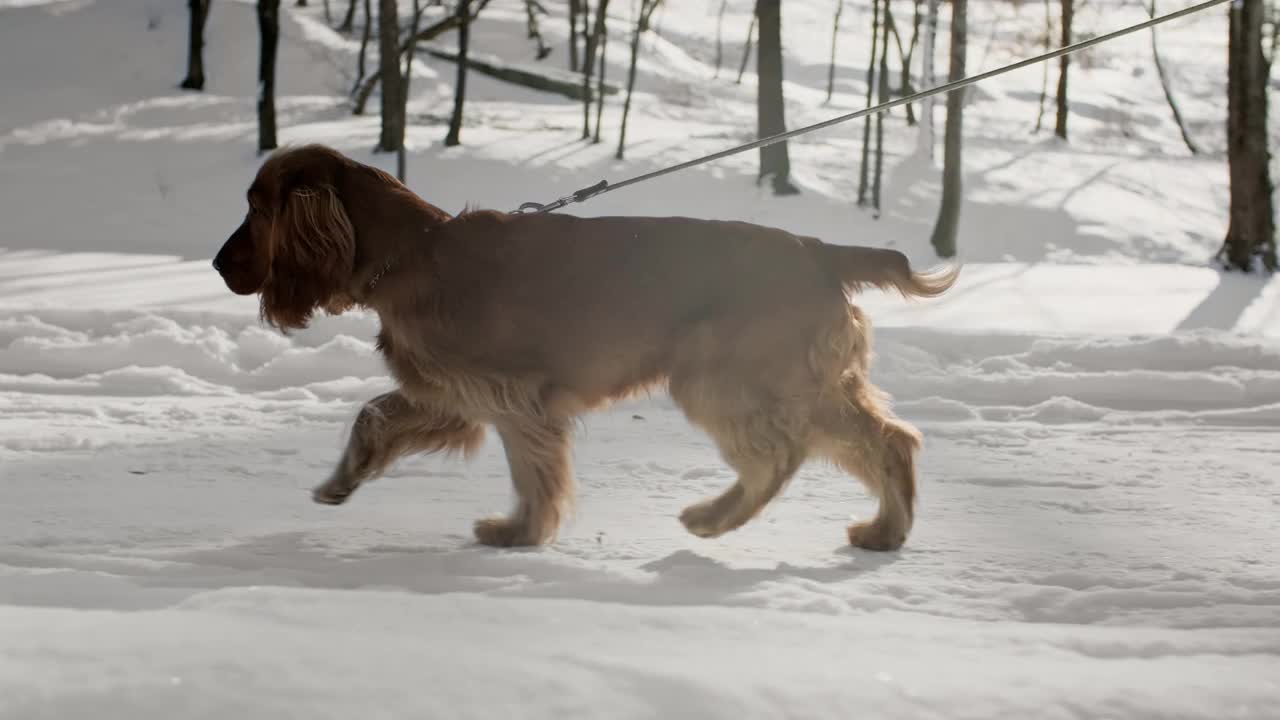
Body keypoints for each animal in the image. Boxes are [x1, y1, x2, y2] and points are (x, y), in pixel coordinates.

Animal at [215, 144, 957, 548]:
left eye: (256, 206)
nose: (219, 264)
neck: (410, 254)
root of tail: (818, 250)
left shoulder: (512, 397)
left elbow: (534, 471)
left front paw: (519, 530)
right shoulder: (453, 395)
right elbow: (372, 415)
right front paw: (341, 481)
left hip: (726, 377)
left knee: (782, 455)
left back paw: (714, 517)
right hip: (801, 381)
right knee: (889, 440)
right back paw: (883, 532)